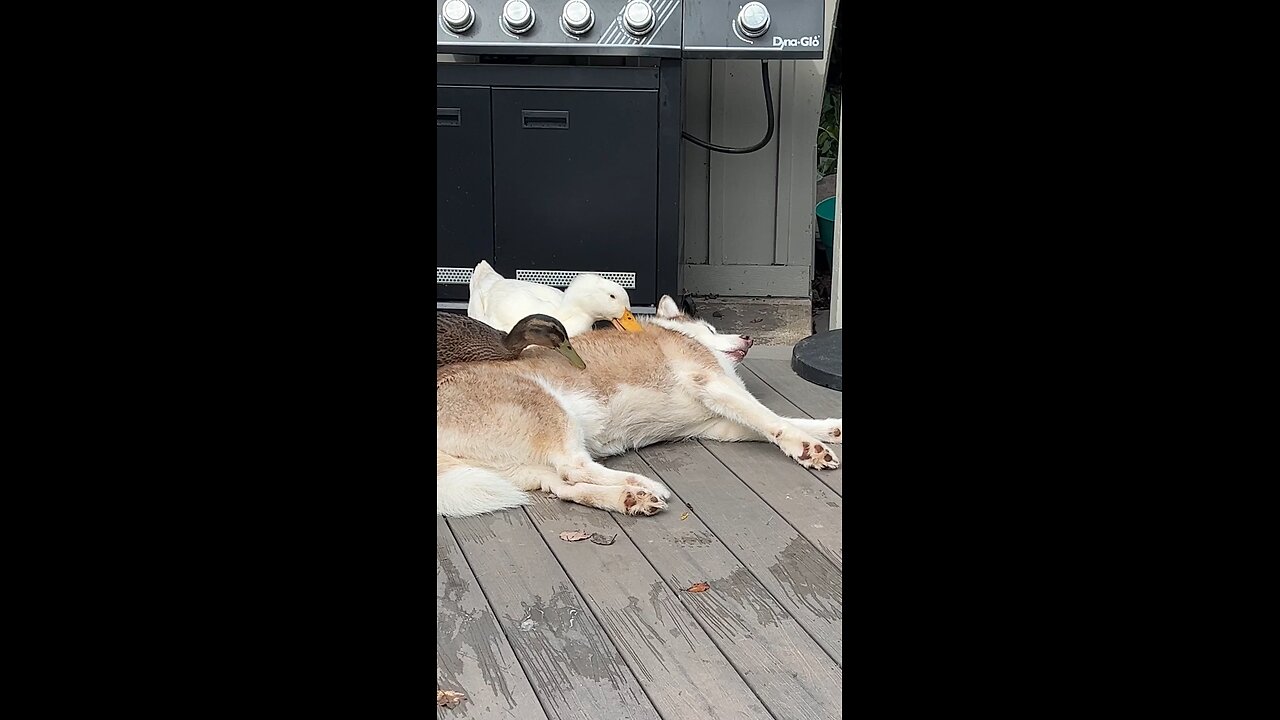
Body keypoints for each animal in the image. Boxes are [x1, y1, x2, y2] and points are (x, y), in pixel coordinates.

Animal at [435, 293, 844, 515]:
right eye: (711, 329)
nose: (748, 338)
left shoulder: (720, 423)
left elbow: (778, 419)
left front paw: (829, 429)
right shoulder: (712, 383)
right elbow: (775, 421)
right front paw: (808, 448)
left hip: (519, 471)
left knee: (566, 485)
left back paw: (628, 498)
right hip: (551, 410)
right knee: (576, 466)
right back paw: (643, 484)